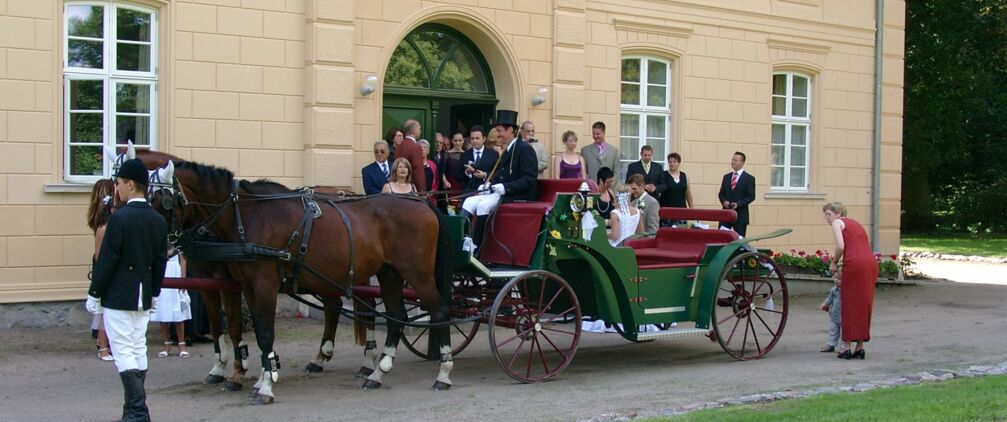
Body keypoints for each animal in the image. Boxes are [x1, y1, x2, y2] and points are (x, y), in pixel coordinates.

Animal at [170, 160, 457, 404]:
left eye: (164, 196)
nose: (171, 241)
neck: (250, 215)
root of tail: (421, 203)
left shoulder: (261, 284)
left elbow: (260, 331)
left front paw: (264, 385)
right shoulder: (246, 286)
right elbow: (251, 330)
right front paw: (258, 375)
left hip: (416, 272)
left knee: (440, 311)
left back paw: (443, 373)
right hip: (388, 273)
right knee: (393, 316)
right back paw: (377, 372)